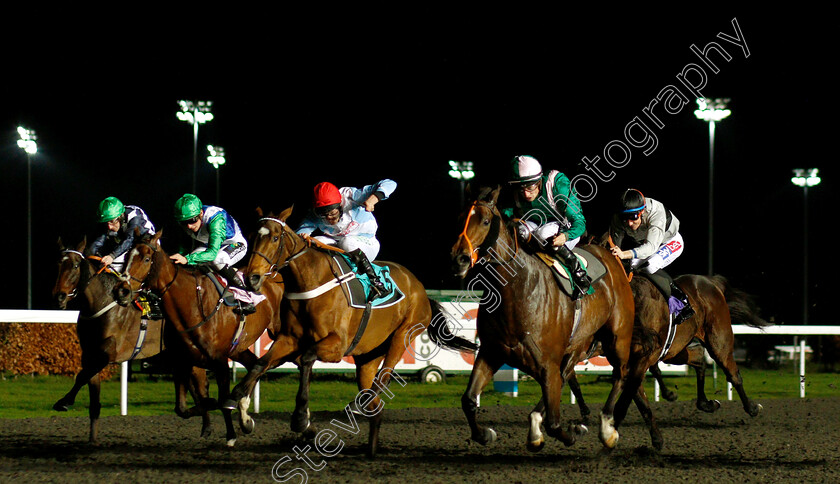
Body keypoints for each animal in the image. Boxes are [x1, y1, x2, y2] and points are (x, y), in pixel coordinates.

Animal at [51, 236, 213, 444]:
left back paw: (207, 426)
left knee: (202, 386)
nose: (59, 296)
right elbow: (92, 393)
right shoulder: (89, 354)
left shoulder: (108, 352)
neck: (102, 304)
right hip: (176, 355)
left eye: (76, 265)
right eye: (58, 264)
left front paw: (64, 402)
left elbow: (81, 376)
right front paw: (92, 439)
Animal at [115, 227, 288, 446]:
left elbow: (221, 400)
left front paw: (230, 435)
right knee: (255, 364)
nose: (121, 291)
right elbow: (183, 408)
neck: (191, 305)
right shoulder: (182, 362)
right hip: (238, 348)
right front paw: (215, 414)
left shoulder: (220, 362)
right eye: (127, 256)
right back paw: (245, 417)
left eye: (146, 259)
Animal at [221, 206, 480, 456]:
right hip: (367, 356)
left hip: (402, 336)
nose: (252, 278)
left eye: (275, 237)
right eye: (252, 236)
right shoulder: (289, 339)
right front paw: (236, 397)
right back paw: (370, 448)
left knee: (382, 380)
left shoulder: (336, 345)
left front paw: (301, 418)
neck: (310, 281)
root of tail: (420, 289)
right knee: (376, 403)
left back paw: (359, 409)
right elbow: (260, 363)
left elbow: (306, 359)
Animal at [450, 187, 632, 452]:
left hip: (618, 337)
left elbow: (555, 423)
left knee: (620, 373)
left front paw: (571, 433)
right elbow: (468, 400)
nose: (459, 259)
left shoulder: (548, 364)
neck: (517, 289)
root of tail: (610, 256)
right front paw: (485, 434)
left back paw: (607, 429)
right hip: (578, 344)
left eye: (484, 221)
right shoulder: (491, 352)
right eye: (459, 217)